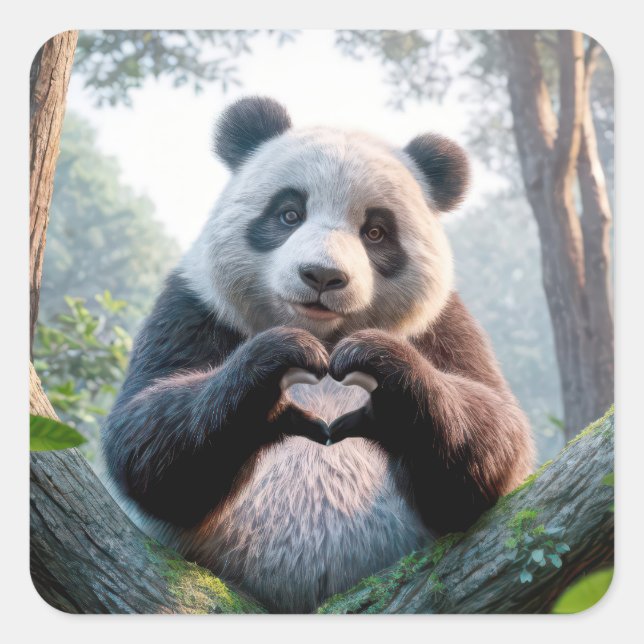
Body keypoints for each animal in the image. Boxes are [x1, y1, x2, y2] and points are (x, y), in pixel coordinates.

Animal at [102, 96, 535, 614]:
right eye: (289, 214)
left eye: (375, 232)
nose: (323, 276)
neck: (326, 338)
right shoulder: (193, 307)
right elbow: (147, 440)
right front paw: (275, 377)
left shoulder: (443, 326)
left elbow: (491, 442)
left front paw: (384, 386)